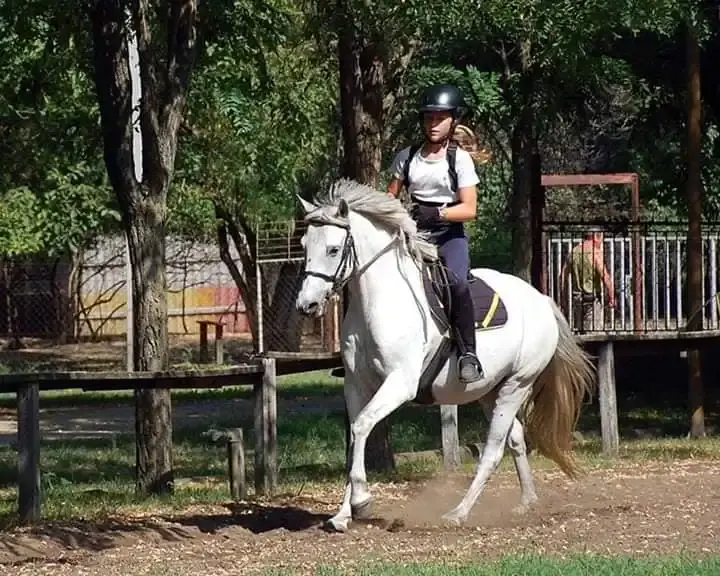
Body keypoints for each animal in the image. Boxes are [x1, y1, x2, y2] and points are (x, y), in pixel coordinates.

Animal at [294, 179, 596, 532]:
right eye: (304, 245)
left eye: (333, 249)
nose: (307, 305)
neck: (380, 300)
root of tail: (542, 300)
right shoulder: (357, 384)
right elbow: (357, 434)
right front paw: (343, 514)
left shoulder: (400, 383)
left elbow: (362, 426)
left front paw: (362, 502)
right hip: (490, 390)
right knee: (516, 439)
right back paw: (527, 501)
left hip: (517, 385)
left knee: (494, 450)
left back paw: (459, 512)